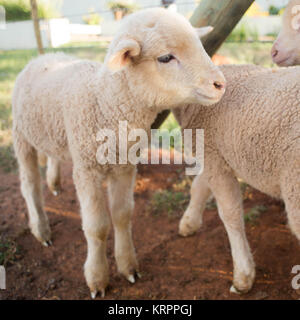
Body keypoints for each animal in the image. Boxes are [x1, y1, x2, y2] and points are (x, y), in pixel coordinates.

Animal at [12, 7, 226, 298]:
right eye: (165, 57)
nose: (220, 84)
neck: (104, 101)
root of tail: (43, 57)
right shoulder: (87, 169)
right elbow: (97, 227)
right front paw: (97, 278)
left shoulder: (125, 166)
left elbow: (123, 216)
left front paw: (128, 267)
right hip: (21, 135)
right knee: (29, 185)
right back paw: (41, 229)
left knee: (52, 156)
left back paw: (54, 183)